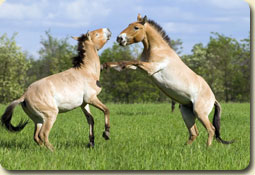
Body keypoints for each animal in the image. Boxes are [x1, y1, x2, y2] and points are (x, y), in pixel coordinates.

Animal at [104, 13, 234, 146]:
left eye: (136, 27)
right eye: (129, 25)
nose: (119, 38)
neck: (158, 49)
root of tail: (214, 99)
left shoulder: (151, 68)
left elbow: (132, 61)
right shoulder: (141, 68)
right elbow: (126, 63)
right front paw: (106, 65)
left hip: (200, 113)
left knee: (211, 129)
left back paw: (207, 148)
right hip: (186, 112)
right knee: (194, 133)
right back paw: (185, 148)